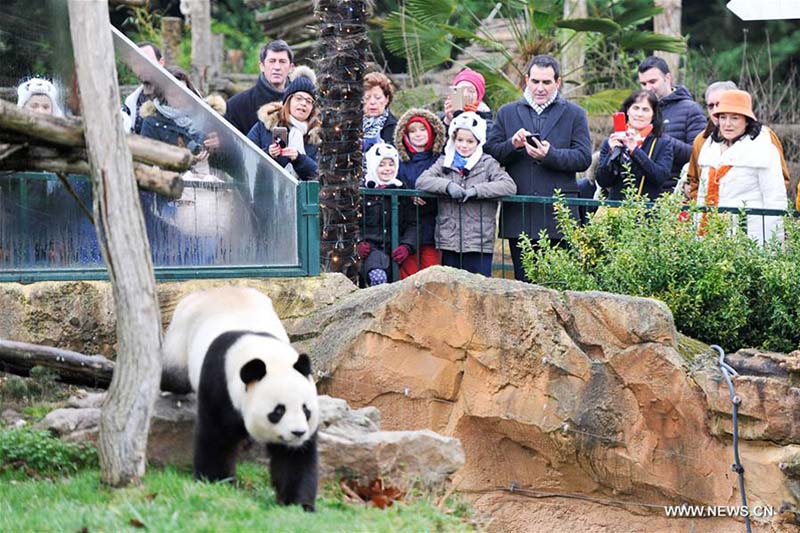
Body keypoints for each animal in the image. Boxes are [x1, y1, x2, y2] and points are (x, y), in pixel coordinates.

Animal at [161, 286, 320, 512]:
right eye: (278, 411)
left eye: (306, 410)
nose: (297, 433)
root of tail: (211, 290)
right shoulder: (219, 382)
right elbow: (216, 437)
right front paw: (215, 482)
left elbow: (294, 459)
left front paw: (299, 504)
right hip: (180, 338)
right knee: (173, 376)